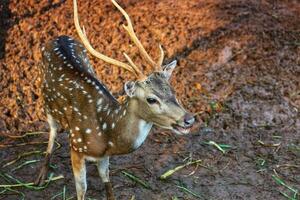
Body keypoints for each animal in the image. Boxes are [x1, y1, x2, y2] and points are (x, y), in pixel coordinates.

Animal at [35, 0, 196, 200]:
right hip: (45, 100)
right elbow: (82, 189)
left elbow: (107, 181)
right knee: (53, 130)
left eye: (172, 90)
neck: (107, 134)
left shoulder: (104, 157)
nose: (189, 119)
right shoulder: (76, 147)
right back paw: (41, 175)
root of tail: (58, 37)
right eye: (151, 99)